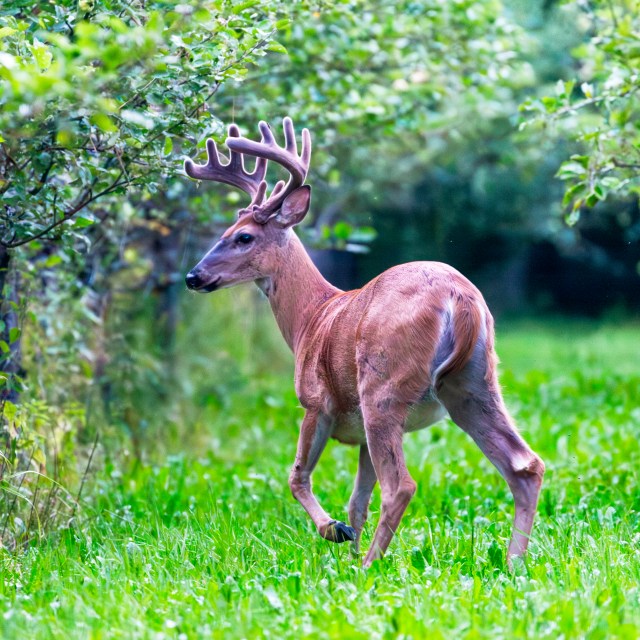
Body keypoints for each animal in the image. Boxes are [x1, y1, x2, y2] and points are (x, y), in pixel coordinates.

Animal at [183, 117, 545, 569]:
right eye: (225, 231)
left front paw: (335, 533)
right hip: (473, 385)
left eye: (244, 237)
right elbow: (357, 500)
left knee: (402, 485)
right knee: (525, 465)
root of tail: (460, 297)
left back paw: (373, 564)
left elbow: (297, 478)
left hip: (382, 387)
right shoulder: (356, 431)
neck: (310, 319)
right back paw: (514, 563)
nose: (193, 276)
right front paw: (347, 550)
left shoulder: (316, 401)